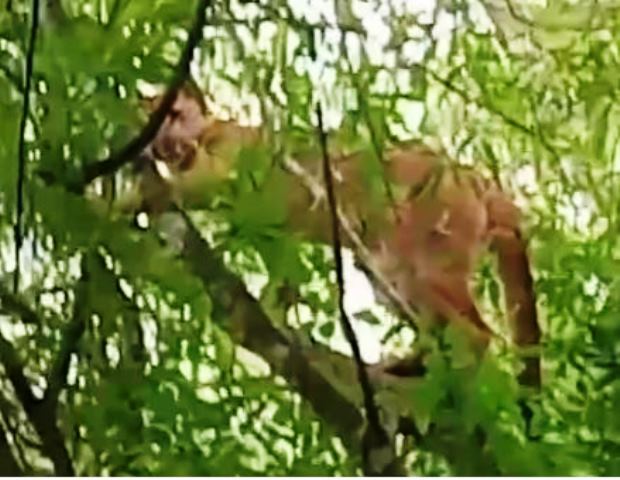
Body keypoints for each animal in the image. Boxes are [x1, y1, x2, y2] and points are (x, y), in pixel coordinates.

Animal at [133, 85, 541, 387]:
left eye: (172, 115)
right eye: (153, 127)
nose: (162, 146)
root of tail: (474, 175)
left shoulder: (227, 171)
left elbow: (185, 187)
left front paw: (132, 198)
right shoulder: (272, 228)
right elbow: (280, 271)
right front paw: (275, 307)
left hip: (424, 255)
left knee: (476, 332)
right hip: (385, 268)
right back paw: (411, 369)